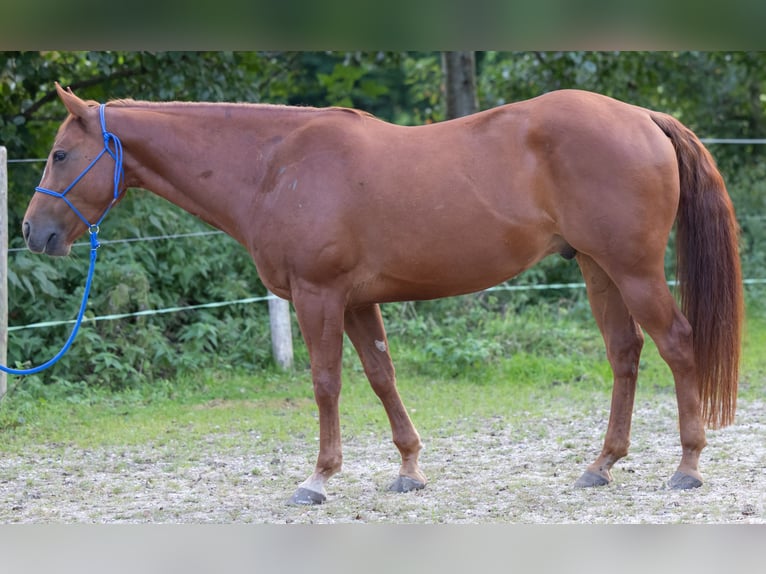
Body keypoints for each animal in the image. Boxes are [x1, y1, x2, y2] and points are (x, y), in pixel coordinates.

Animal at [24, 83, 744, 506]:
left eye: (60, 155)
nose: (34, 232)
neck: (274, 166)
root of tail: (642, 116)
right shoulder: (356, 302)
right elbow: (381, 377)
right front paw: (410, 470)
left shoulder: (318, 296)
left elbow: (325, 383)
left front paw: (318, 478)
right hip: (597, 268)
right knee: (625, 354)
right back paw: (601, 465)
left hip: (634, 270)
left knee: (677, 345)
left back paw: (688, 466)